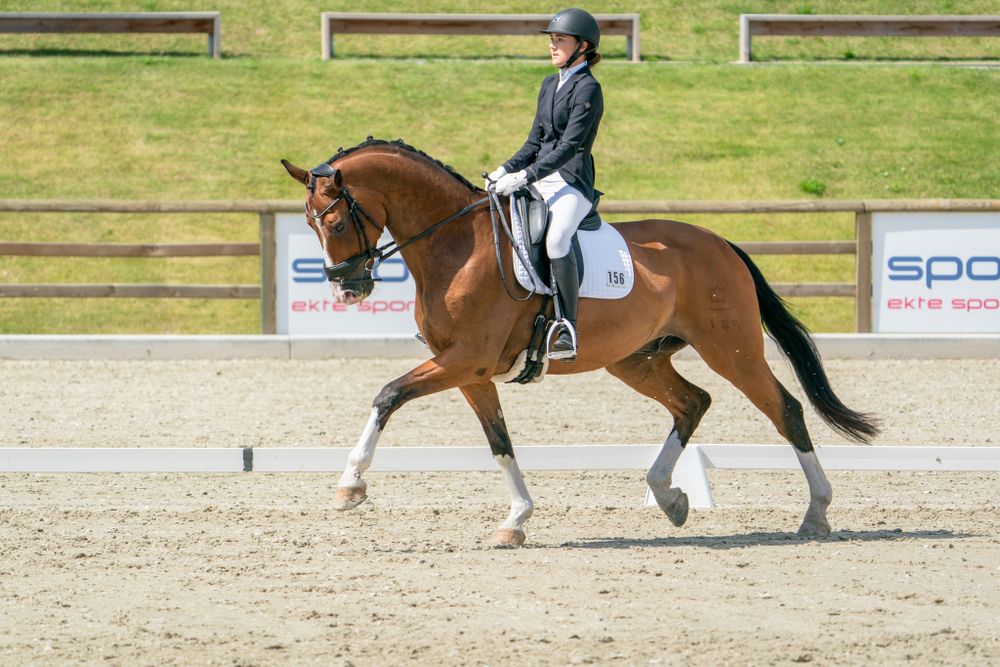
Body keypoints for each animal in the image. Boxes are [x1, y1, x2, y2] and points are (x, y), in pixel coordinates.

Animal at [281, 137, 879, 547]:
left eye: (335, 222)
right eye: (309, 224)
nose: (348, 289)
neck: (455, 245)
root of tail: (720, 242)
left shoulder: (465, 360)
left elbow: (387, 394)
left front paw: (349, 486)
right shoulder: (470, 371)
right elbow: (499, 442)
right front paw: (515, 521)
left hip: (731, 350)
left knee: (786, 409)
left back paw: (816, 513)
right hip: (636, 360)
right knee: (693, 402)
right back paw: (670, 497)